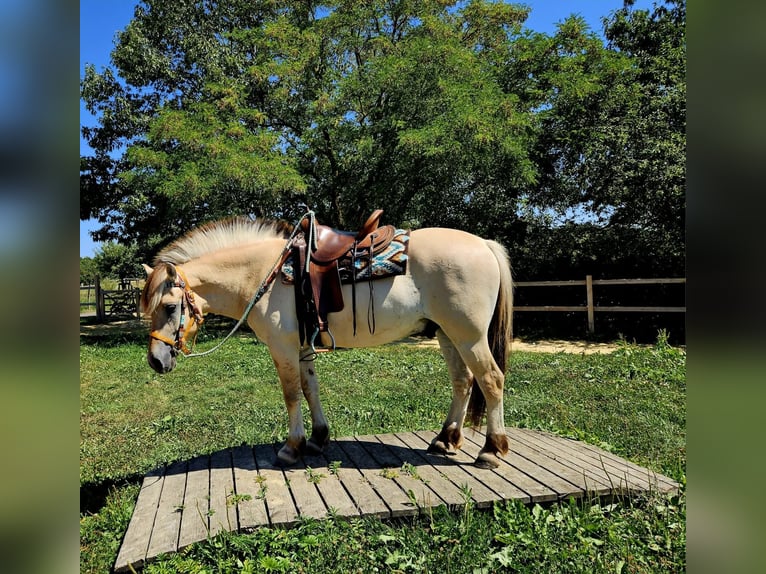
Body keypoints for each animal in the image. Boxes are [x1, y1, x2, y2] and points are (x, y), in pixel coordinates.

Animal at [140, 215, 513, 469]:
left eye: (170, 307)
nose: (156, 361)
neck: (263, 273)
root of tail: (484, 244)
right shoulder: (304, 346)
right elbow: (310, 389)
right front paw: (319, 438)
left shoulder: (283, 347)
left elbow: (291, 394)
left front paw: (292, 447)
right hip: (447, 334)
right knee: (464, 381)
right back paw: (446, 440)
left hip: (469, 336)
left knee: (491, 380)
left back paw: (491, 450)